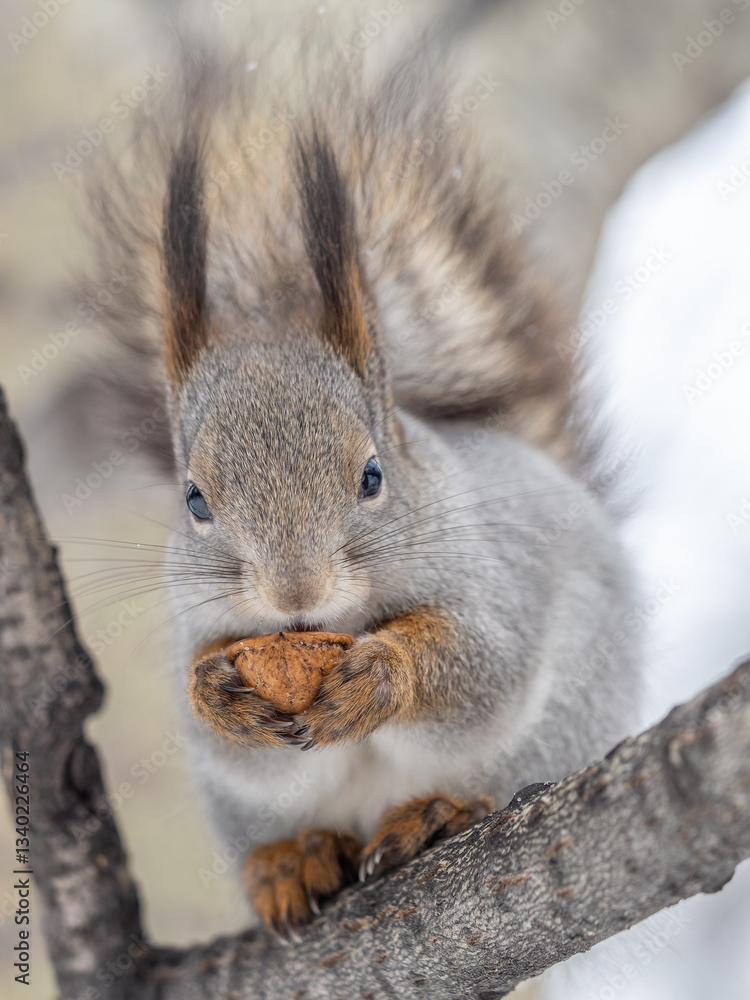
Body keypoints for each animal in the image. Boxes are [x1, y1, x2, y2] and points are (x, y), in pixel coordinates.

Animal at [76, 28, 641, 937]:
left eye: (373, 475)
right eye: (194, 500)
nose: (293, 591)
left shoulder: (497, 580)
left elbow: (483, 664)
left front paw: (382, 676)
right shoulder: (192, 624)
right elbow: (216, 728)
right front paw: (217, 695)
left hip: (567, 717)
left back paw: (440, 813)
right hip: (242, 813)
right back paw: (294, 859)